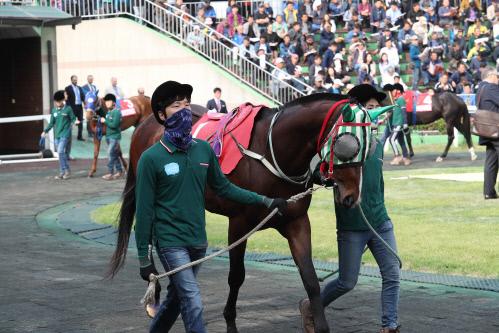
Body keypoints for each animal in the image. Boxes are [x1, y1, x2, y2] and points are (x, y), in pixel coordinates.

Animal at [108, 93, 368, 332]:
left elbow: (310, 278)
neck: (272, 150)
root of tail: (146, 124)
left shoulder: (297, 221)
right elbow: (236, 276)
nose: (351, 196)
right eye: (347, 145)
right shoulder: (239, 223)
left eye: (369, 145)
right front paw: (230, 321)